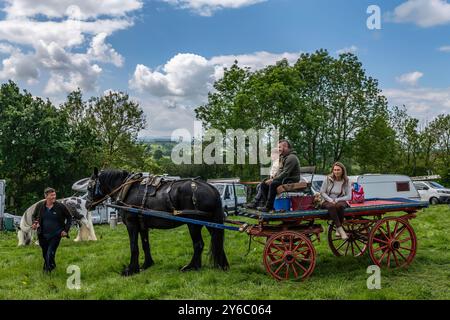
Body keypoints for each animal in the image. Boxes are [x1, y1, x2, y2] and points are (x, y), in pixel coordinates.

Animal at [85, 169, 229, 276]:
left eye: (89, 187)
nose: (87, 205)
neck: (127, 189)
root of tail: (211, 188)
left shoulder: (132, 224)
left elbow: (134, 247)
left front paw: (131, 270)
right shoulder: (142, 225)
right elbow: (145, 245)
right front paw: (146, 264)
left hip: (193, 223)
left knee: (198, 244)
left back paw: (192, 267)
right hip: (210, 222)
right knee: (217, 240)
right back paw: (221, 265)